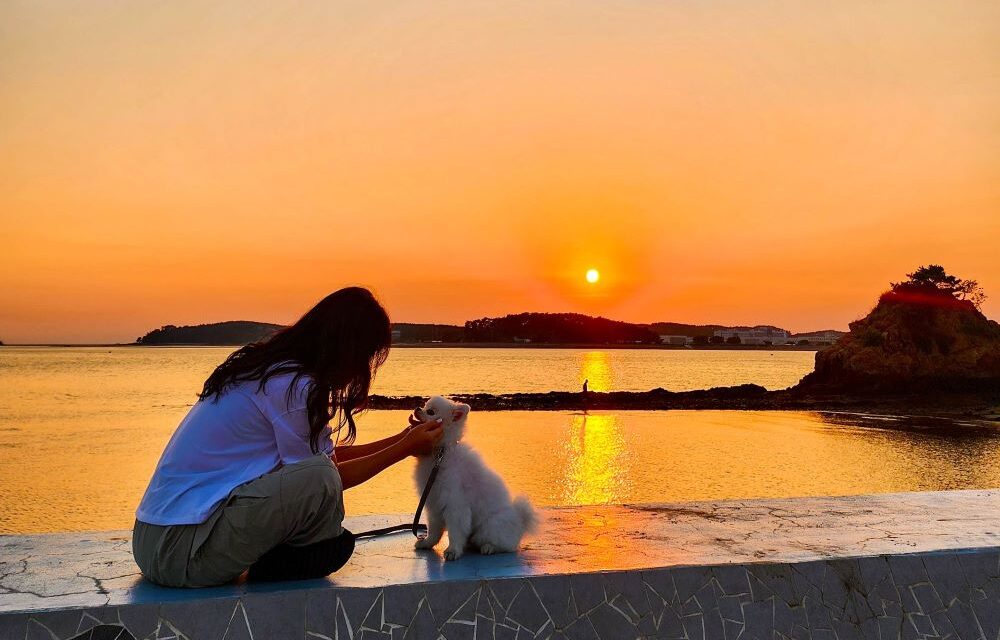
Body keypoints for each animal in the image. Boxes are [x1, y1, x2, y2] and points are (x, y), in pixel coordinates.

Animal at [412, 396, 536, 560]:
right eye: (425, 406)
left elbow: (455, 532)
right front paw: (427, 542)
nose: (417, 408)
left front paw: (452, 550)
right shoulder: (433, 503)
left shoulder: (455, 504)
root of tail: (520, 521)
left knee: (506, 546)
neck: (439, 454)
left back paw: (489, 547)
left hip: (489, 528)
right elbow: (434, 529)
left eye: (430, 412)